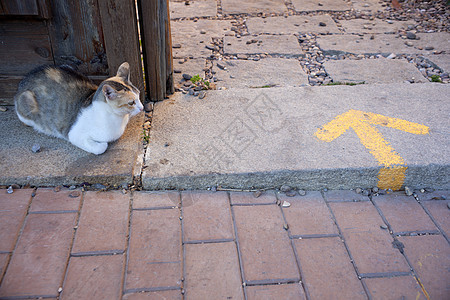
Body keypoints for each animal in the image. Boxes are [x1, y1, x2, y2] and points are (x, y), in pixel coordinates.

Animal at [14, 61, 143, 155]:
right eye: (131, 102)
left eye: (139, 95)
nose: (141, 108)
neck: (117, 119)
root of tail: (24, 80)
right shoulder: (74, 134)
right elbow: (101, 147)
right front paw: (102, 144)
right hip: (26, 100)